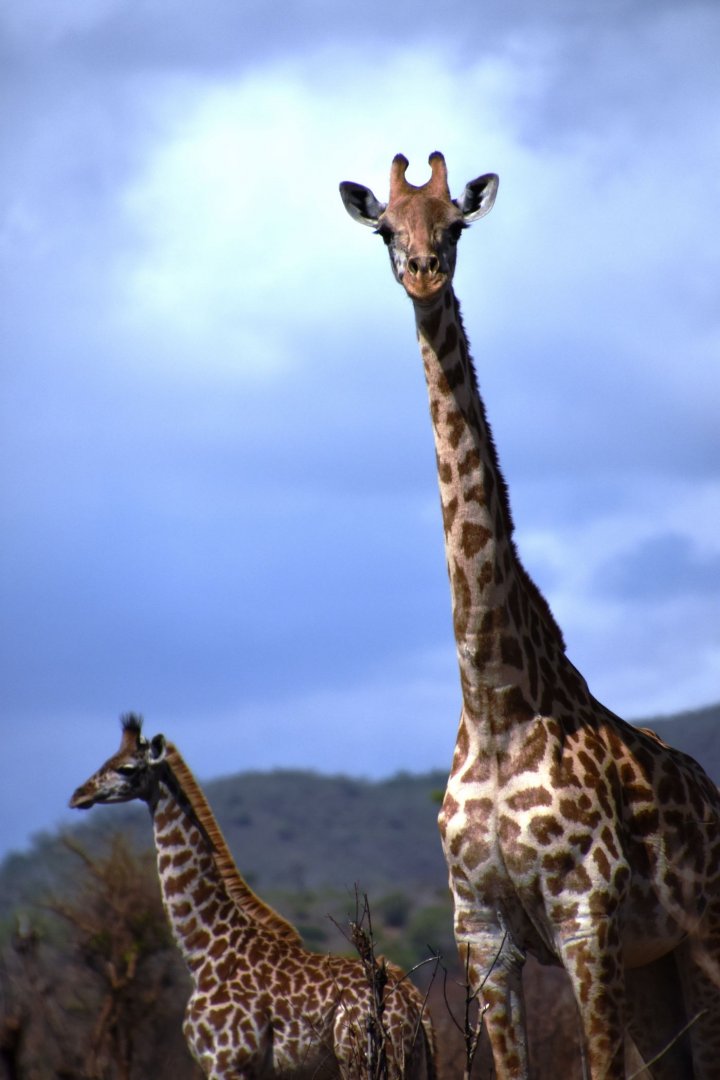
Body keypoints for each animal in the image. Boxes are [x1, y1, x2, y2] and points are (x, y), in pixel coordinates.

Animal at [69, 714, 436, 1080]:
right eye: (108, 759)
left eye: (127, 768)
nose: (78, 794)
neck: (204, 950)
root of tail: (417, 1005)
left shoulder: (227, 1062)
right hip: (411, 1064)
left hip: (363, 1061)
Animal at [339, 153, 720, 1079]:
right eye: (385, 228)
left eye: (455, 224)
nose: (423, 273)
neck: (495, 700)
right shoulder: (484, 933)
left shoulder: (587, 917)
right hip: (656, 968)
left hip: (703, 943)